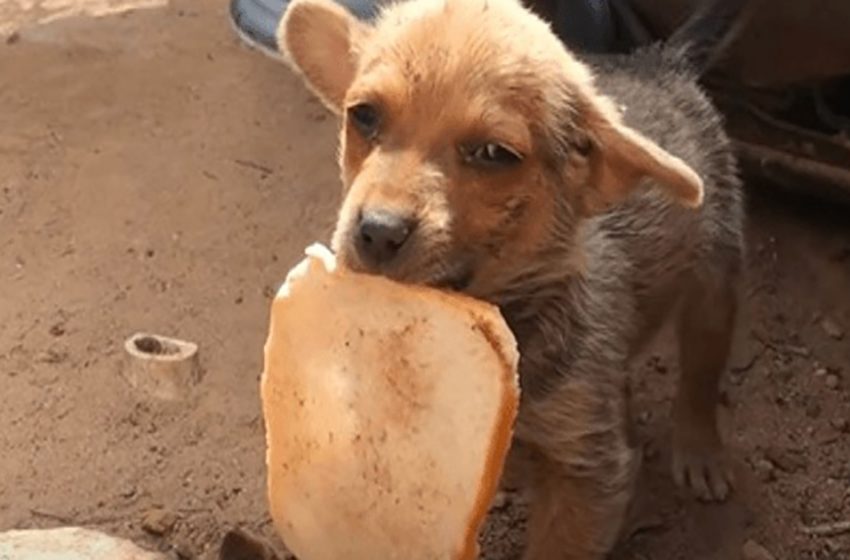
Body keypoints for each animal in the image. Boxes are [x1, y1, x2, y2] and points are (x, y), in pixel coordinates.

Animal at [276, 2, 744, 556]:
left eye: (494, 155)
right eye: (364, 115)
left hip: (716, 279)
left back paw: (699, 449)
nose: (377, 231)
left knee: (701, 372)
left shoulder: (588, 476)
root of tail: (661, 60)